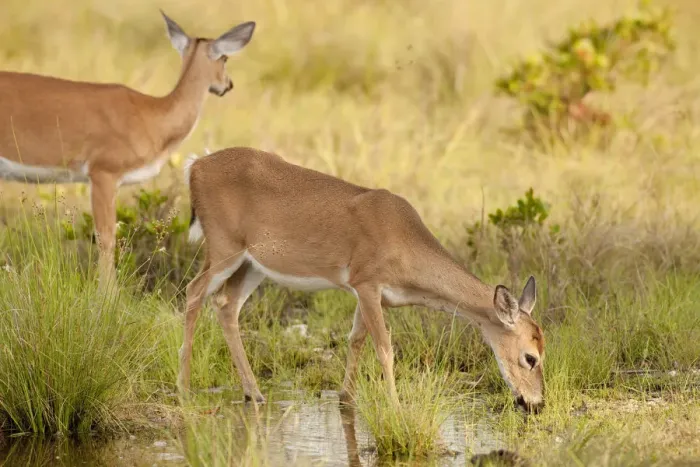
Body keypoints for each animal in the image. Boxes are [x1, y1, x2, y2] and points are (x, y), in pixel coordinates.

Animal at [0, 12, 255, 287]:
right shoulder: (103, 174)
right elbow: (106, 237)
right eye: (225, 58)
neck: (152, 115)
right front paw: (107, 294)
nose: (227, 85)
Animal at [179, 147, 546, 413]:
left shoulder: (366, 294)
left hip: (251, 265)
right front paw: (397, 407)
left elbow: (356, 339)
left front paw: (346, 397)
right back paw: (184, 387)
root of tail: (195, 166)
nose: (536, 404)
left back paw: (253, 392)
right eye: (530, 357)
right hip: (224, 248)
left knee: (226, 305)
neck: (404, 239)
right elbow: (385, 348)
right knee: (194, 292)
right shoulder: (367, 283)